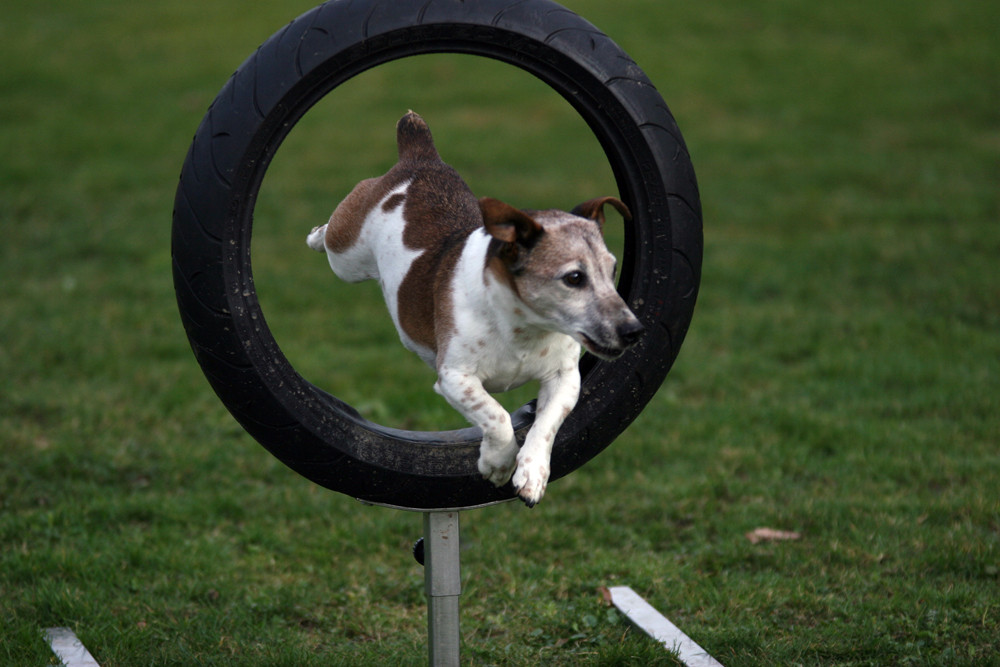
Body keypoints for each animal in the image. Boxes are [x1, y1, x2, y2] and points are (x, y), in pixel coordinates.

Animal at [308, 112, 644, 506]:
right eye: (574, 278)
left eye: (613, 269)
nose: (634, 331)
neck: (522, 329)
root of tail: (420, 158)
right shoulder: (456, 378)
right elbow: (496, 417)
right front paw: (497, 463)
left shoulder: (564, 378)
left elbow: (546, 425)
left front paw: (532, 473)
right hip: (345, 255)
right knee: (330, 234)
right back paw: (315, 235)